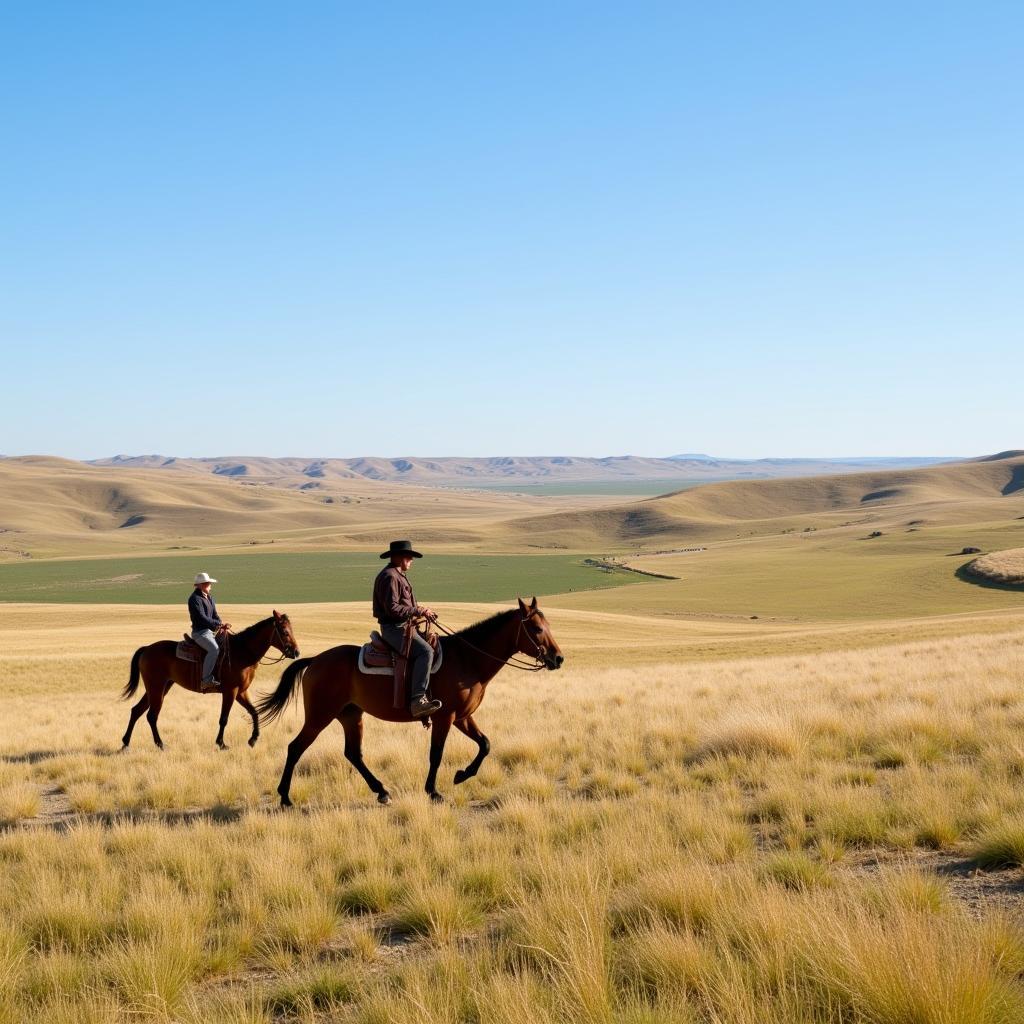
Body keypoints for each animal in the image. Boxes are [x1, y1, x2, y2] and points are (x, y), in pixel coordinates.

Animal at [119, 606, 299, 753]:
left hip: (160, 688)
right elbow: (224, 718)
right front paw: (221, 743)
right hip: (156, 688)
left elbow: (254, 712)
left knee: (137, 710)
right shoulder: (230, 691)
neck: (241, 652)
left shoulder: (241, 692)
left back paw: (125, 744)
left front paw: (253, 739)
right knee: (151, 715)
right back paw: (160, 744)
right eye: (284, 631)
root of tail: (146, 649)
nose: (296, 652)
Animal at [253, 598, 561, 806]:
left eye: (547, 625)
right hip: (320, 716)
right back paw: (285, 797)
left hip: (351, 715)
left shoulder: (462, 717)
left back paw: (382, 791)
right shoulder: (444, 717)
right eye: (536, 628)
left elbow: (485, 744)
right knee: (296, 748)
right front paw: (433, 791)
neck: (468, 659)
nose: (558, 658)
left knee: (353, 753)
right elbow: (436, 754)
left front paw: (462, 775)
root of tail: (315, 660)